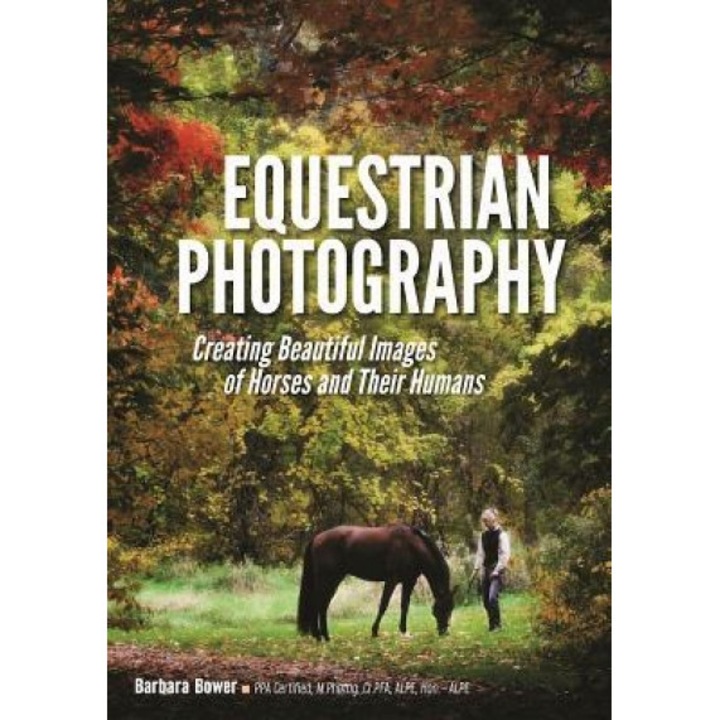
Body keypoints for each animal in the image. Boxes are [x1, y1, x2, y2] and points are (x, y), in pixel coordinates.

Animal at [297, 524, 456, 641]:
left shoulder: (409, 581)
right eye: (442, 609)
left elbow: (405, 606)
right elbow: (383, 605)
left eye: (451, 608)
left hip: (334, 580)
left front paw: (403, 631)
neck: (411, 546)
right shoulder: (391, 580)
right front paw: (374, 631)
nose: (444, 632)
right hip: (327, 579)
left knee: (322, 605)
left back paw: (324, 636)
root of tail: (317, 537)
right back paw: (320, 636)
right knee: (317, 603)